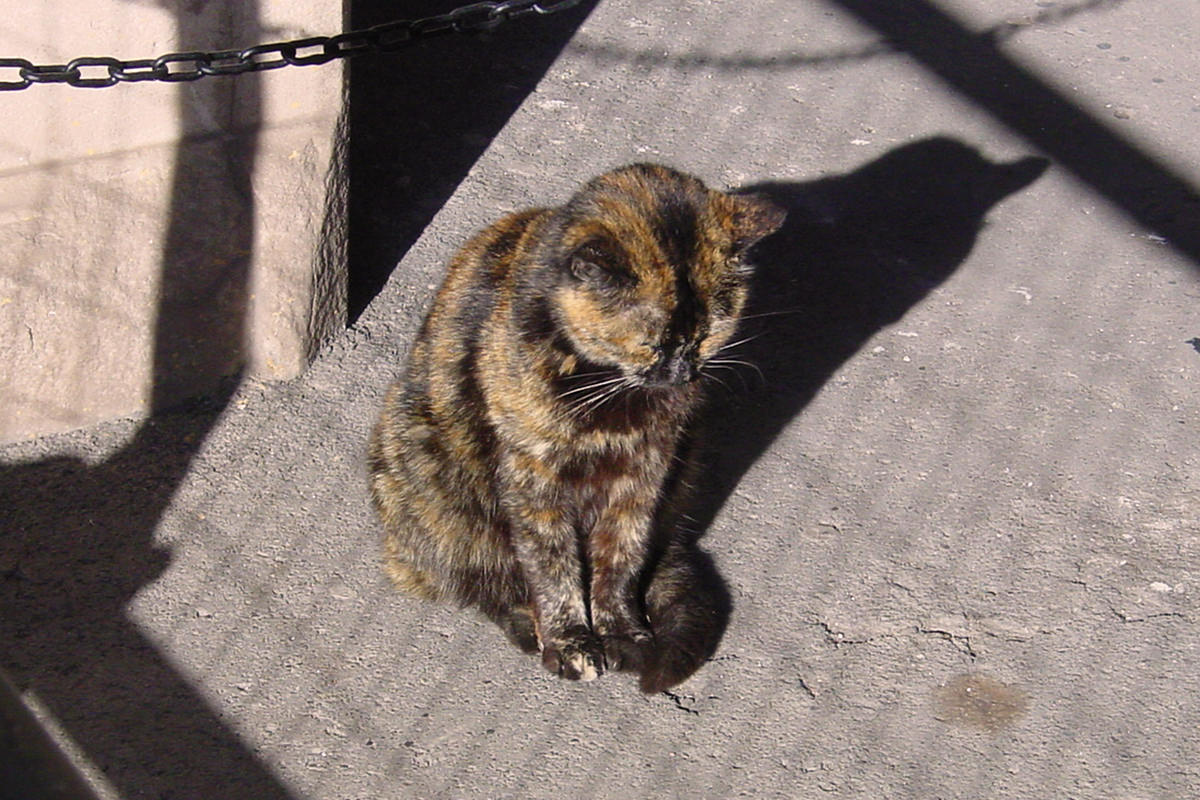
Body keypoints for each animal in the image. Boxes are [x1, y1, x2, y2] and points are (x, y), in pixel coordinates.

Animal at [369, 164, 782, 695]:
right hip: (424, 467)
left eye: (708, 334)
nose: (679, 374)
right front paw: (570, 642)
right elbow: (552, 568)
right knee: (487, 580)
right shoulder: (533, 478)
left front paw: (622, 631)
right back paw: (527, 626)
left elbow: (621, 560)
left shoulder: (643, 477)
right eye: (650, 342)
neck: (610, 406)